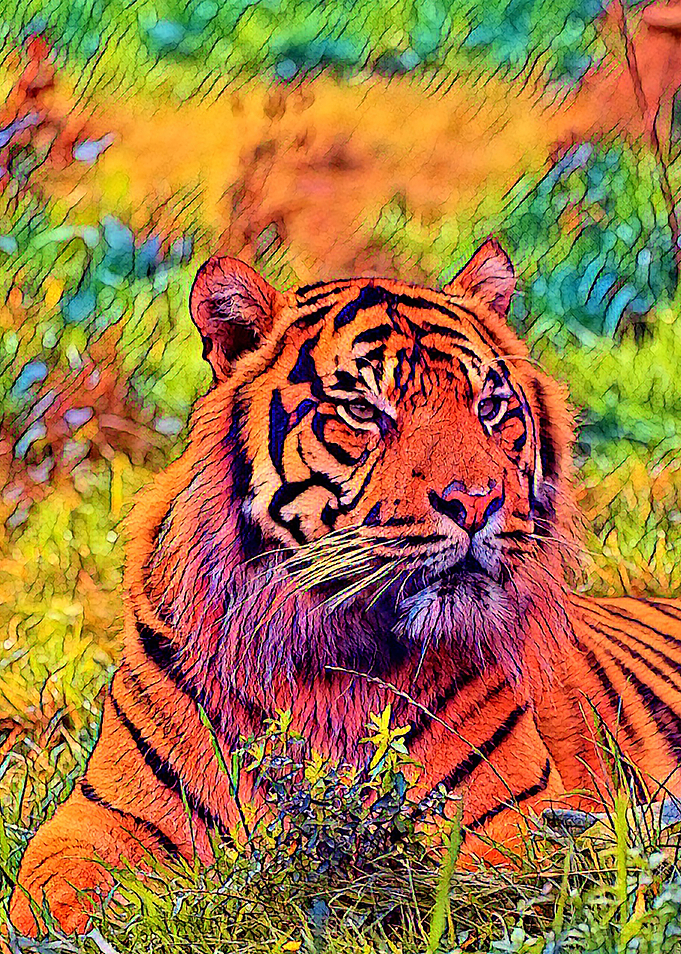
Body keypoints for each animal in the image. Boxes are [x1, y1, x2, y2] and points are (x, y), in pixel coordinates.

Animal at [9, 239, 681, 937]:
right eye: (363, 410)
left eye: (490, 407)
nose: (477, 502)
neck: (332, 652)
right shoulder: (103, 813)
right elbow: (53, 897)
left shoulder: (520, 813)